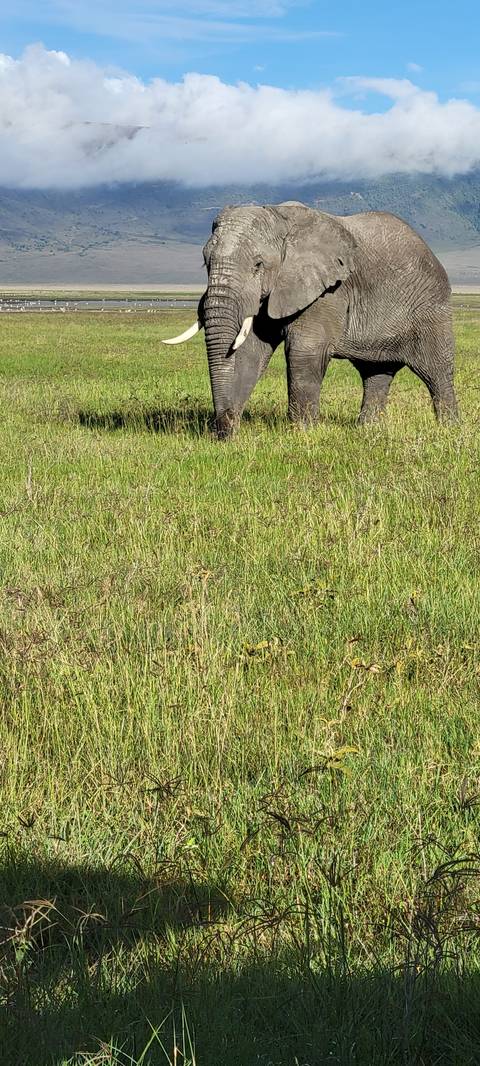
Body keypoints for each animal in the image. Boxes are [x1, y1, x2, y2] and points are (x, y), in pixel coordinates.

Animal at [163, 201, 458, 437]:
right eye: (206, 263)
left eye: (258, 265)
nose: (222, 430)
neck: (280, 218)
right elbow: (249, 353)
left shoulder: (328, 291)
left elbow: (304, 352)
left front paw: (303, 433)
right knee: (375, 374)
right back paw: (366, 430)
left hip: (431, 308)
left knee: (436, 372)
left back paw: (448, 429)